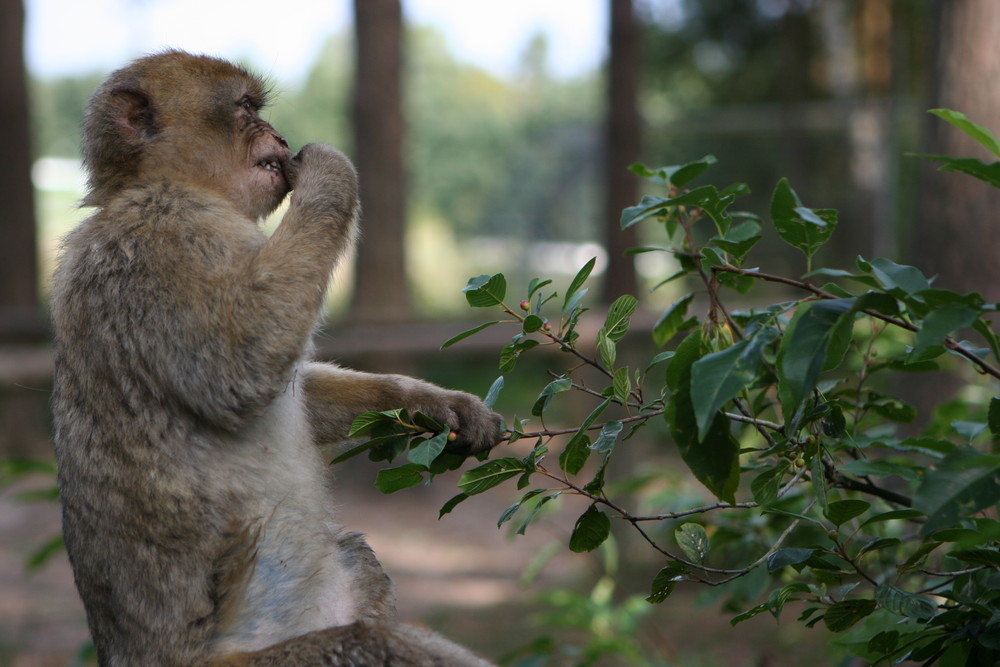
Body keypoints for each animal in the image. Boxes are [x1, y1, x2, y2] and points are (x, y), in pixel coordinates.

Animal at [48, 52, 500, 667]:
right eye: (245, 109)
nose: (280, 138)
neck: (163, 184)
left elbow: (293, 388)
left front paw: (432, 404)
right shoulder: (165, 238)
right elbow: (238, 366)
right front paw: (332, 171)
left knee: (356, 561)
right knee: (371, 643)